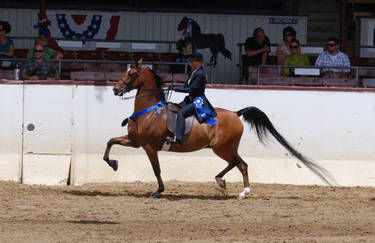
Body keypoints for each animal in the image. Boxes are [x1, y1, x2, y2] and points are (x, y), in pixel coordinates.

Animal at [104, 59, 336, 198]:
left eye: (132, 74)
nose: (116, 89)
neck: (150, 111)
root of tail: (235, 113)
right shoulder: (135, 142)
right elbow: (110, 142)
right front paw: (113, 164)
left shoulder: (150, 146)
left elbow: (156, 169)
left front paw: (158, 191)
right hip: (228, 147)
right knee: (242, 164)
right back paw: (240, 190)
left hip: (221, 148)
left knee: (237, 163)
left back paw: (226, 183)